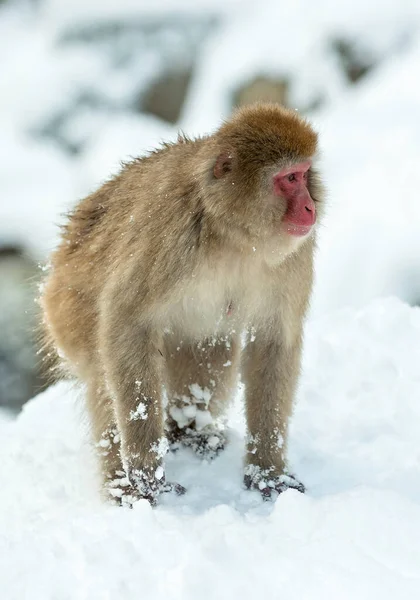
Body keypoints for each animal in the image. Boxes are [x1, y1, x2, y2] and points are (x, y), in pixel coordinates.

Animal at [41, 103, 324, 506]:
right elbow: (127, 322)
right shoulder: (170, 231)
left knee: (208, 350)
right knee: (103, 373)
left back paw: (192, 433)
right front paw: (145, 473)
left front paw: (267, 472)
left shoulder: (295, 257)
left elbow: (273, 342)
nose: (309, 207)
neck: (235, 236)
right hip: (65, 307)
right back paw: (124, 485)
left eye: (305, 174)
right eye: (289, 179)